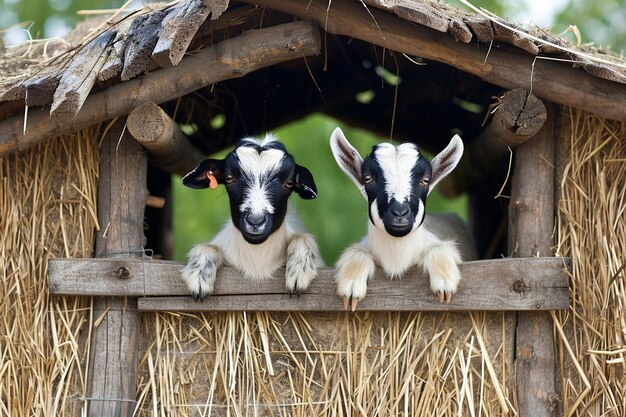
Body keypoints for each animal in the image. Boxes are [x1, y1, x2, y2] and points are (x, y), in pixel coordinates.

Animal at [326, 128, 472, 310]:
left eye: (425, 180)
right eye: (368, 179)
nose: (400, 212)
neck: (396, 260)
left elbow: (439, 251)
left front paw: (445, 284)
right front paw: (351, 288)